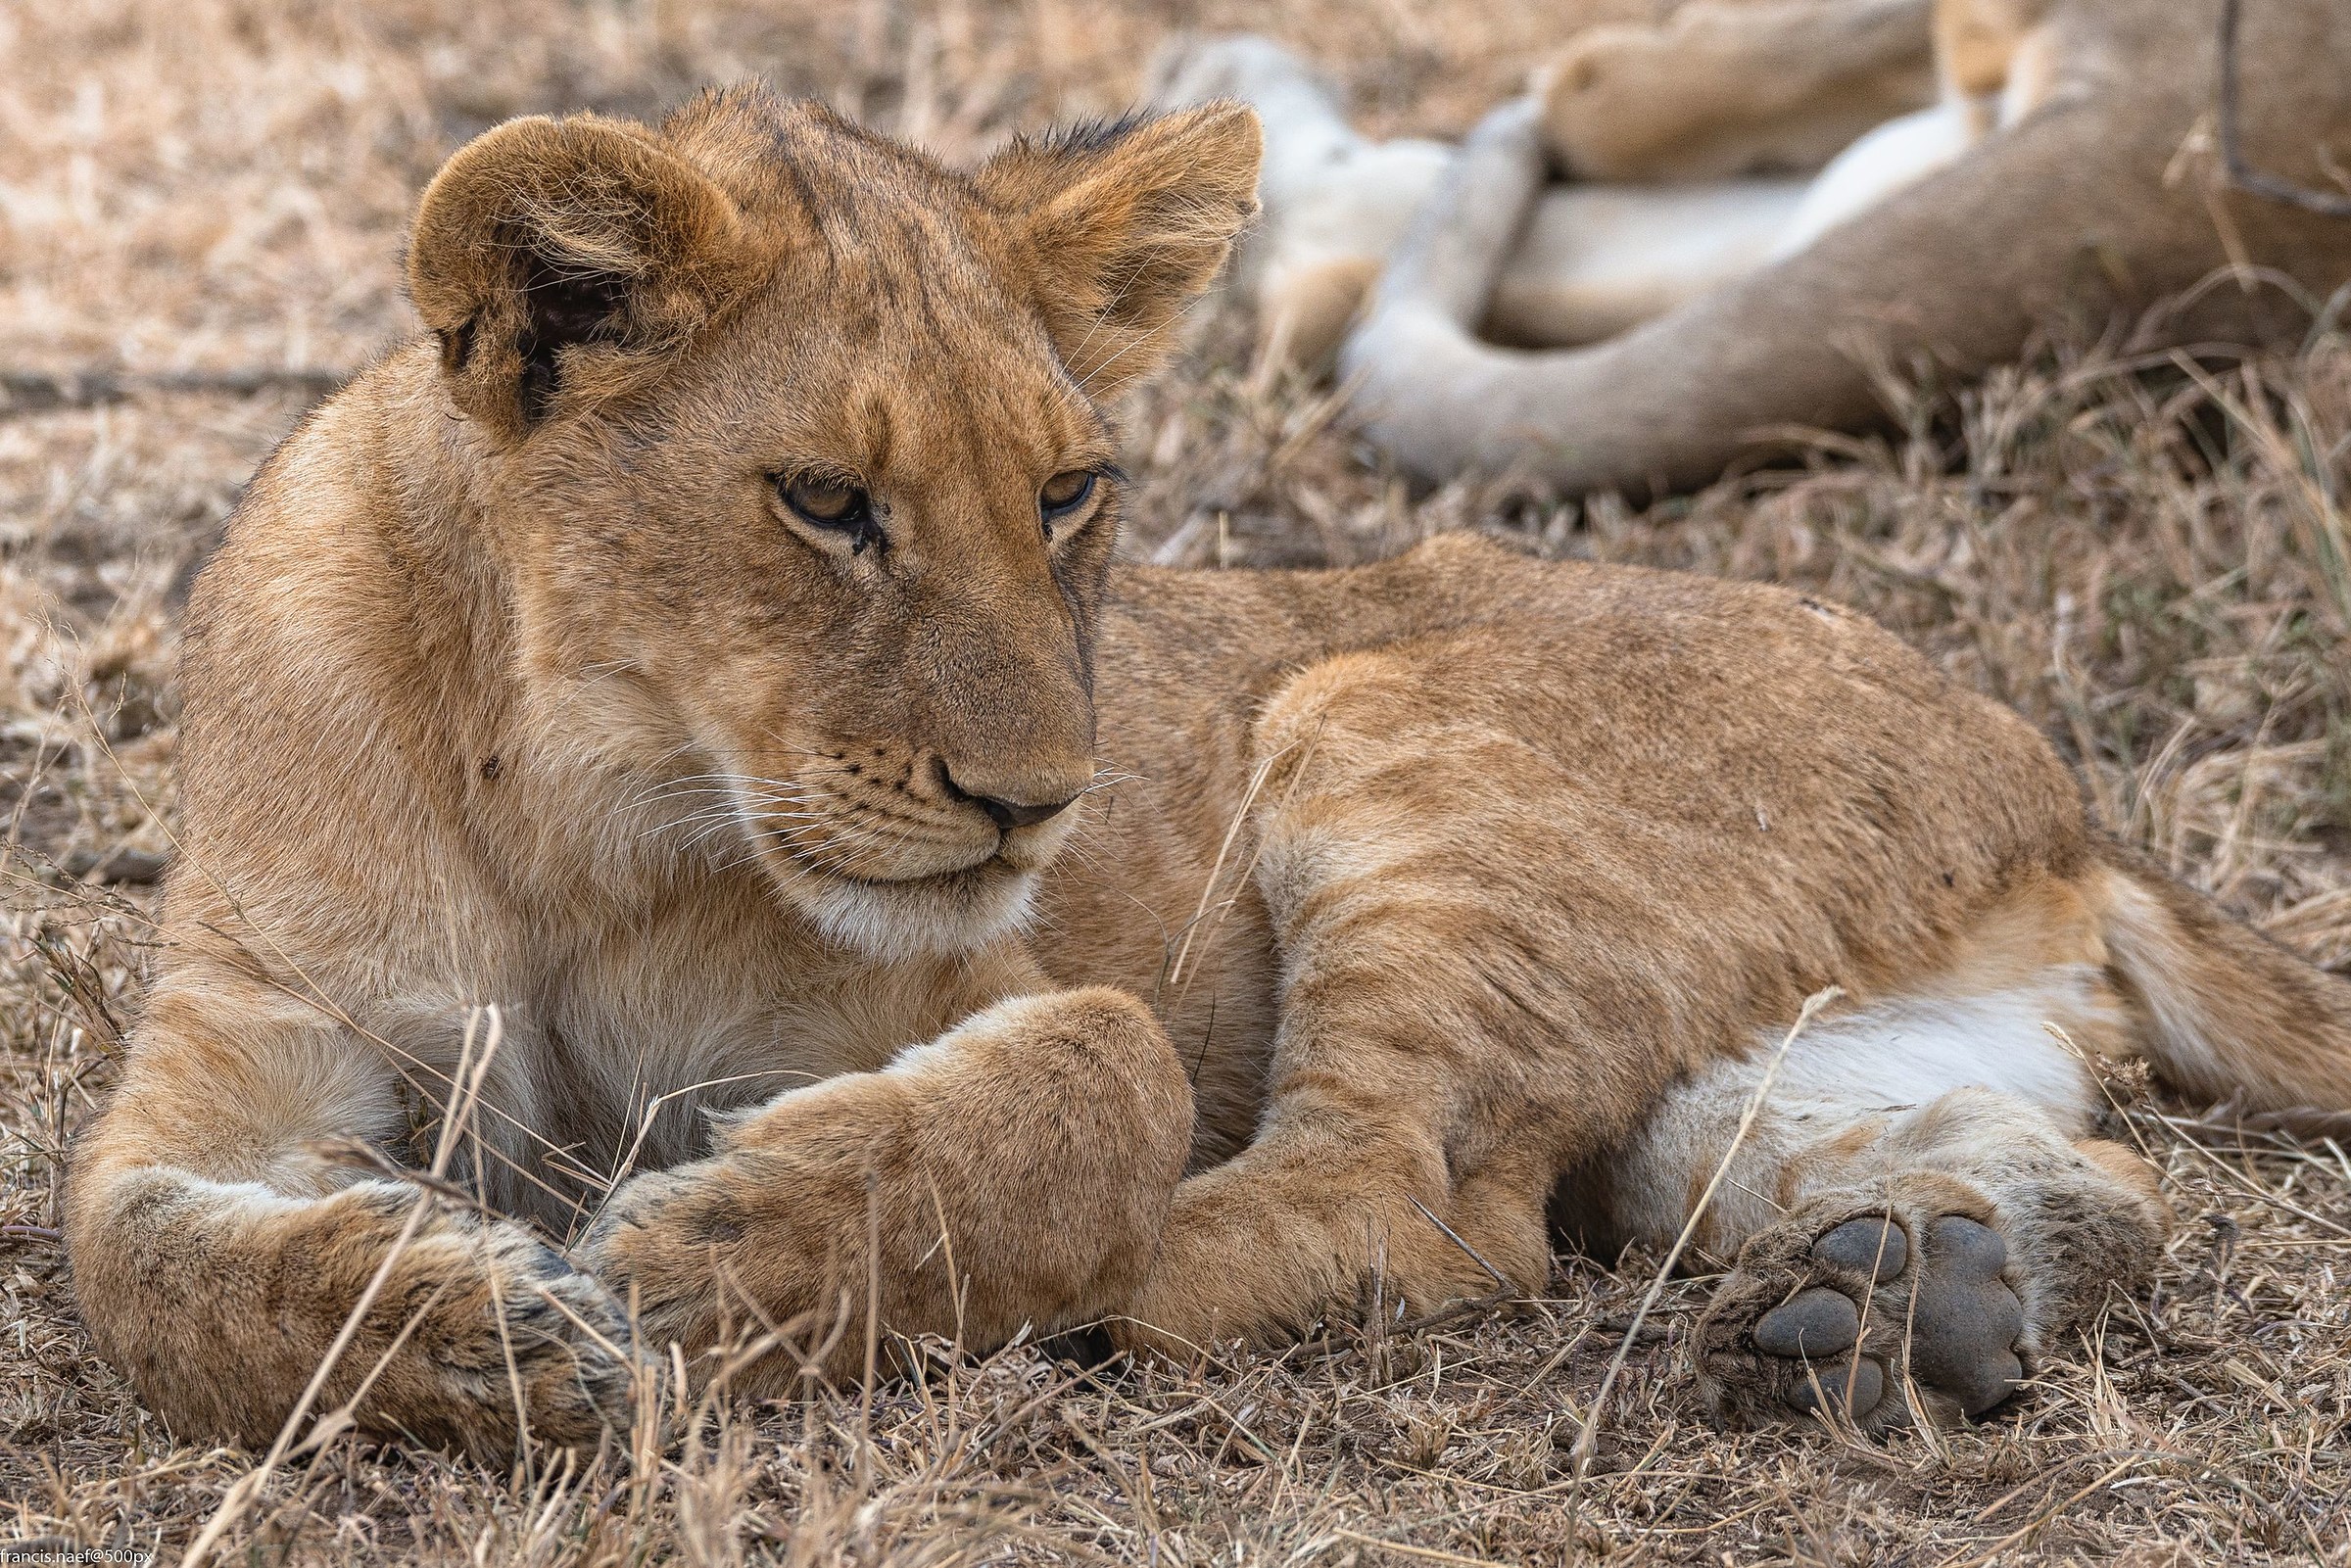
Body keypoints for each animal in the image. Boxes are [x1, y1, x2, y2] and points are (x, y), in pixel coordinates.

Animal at [64, 85, 2351, 1459]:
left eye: (1070, 491)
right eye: (826, 504)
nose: (1035, 802)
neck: (589, 816)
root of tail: (2064, 791)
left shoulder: (984, 983)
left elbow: (1109, 1086)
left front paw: (713, 1257)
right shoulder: (241, 1058)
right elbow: (140, 1267)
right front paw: (461, 1329)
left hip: (1372, 719)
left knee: (1406, 1206)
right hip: (1756, 1079)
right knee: (2070, 1180)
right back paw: (1917, 1298)